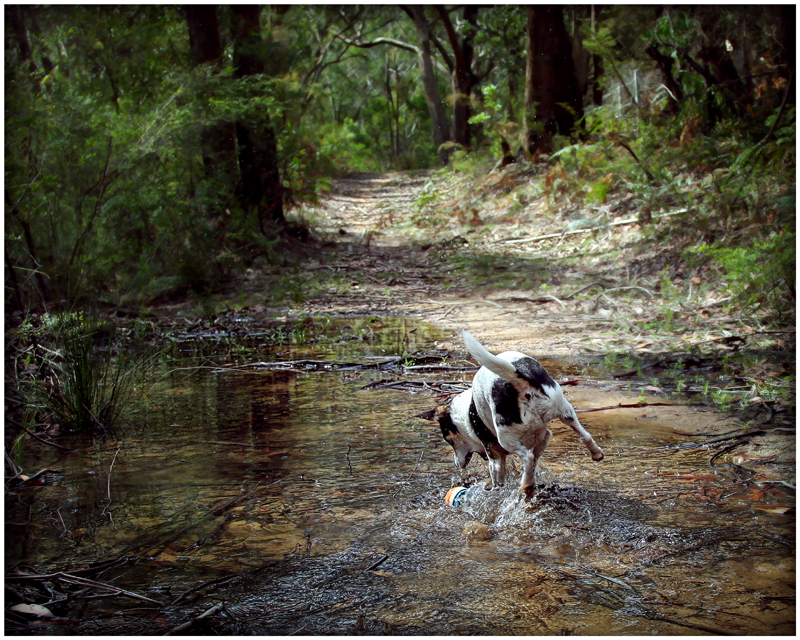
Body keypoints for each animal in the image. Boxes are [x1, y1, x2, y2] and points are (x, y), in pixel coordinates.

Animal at [424, 332, 600, 498]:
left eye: (447, 439)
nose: (456, 464)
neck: (466, 414)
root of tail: (518, 378)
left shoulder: (494, 456)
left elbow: (499, 478)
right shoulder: (545, 437)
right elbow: (536, 457)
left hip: (506, 438)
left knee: (527, 458)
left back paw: (525, 485)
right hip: (565, 410)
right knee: (583, 434)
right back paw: (596, 453)